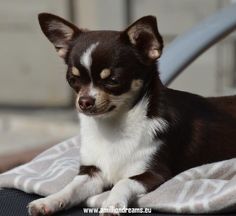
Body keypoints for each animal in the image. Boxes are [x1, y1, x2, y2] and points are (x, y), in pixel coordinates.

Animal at [28, 13, 236, 216]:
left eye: (113, 80)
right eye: (73, 80)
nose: (84, 101)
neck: (113, 126)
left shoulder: (154, 174)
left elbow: (123, 181)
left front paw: (112, 204)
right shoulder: (91, 172)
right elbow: (71, 187)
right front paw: (49, 200)